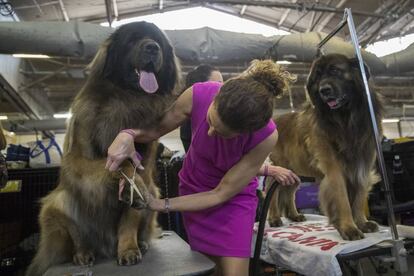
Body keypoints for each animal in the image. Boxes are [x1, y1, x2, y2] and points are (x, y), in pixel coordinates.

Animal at [26, 21, 180, 276]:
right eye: (133, 39)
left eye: (157, 39)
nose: (152, 48)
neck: (127, 99)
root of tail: (103, 245)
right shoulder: (78, 159)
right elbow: (119, 163)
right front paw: (130, 182)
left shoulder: (146, 167)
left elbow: (130, 217)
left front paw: (128, 249)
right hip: (57, 203)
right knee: (77, 234)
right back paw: (83, 253)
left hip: (155, 194)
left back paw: (141, 243)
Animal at [268, 53, 382, 239]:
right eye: (317, 77)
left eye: (335, 71)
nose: (324, 90)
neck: (346, 118)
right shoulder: (333, 166)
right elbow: (342, 197)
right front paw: (348, 227)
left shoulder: (363, 162)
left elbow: (359, 195)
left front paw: (362, 223)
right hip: (279, 169)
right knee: (271, 193)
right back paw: (274, 218)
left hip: (295, 172)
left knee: (289, 192)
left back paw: (293, 215)